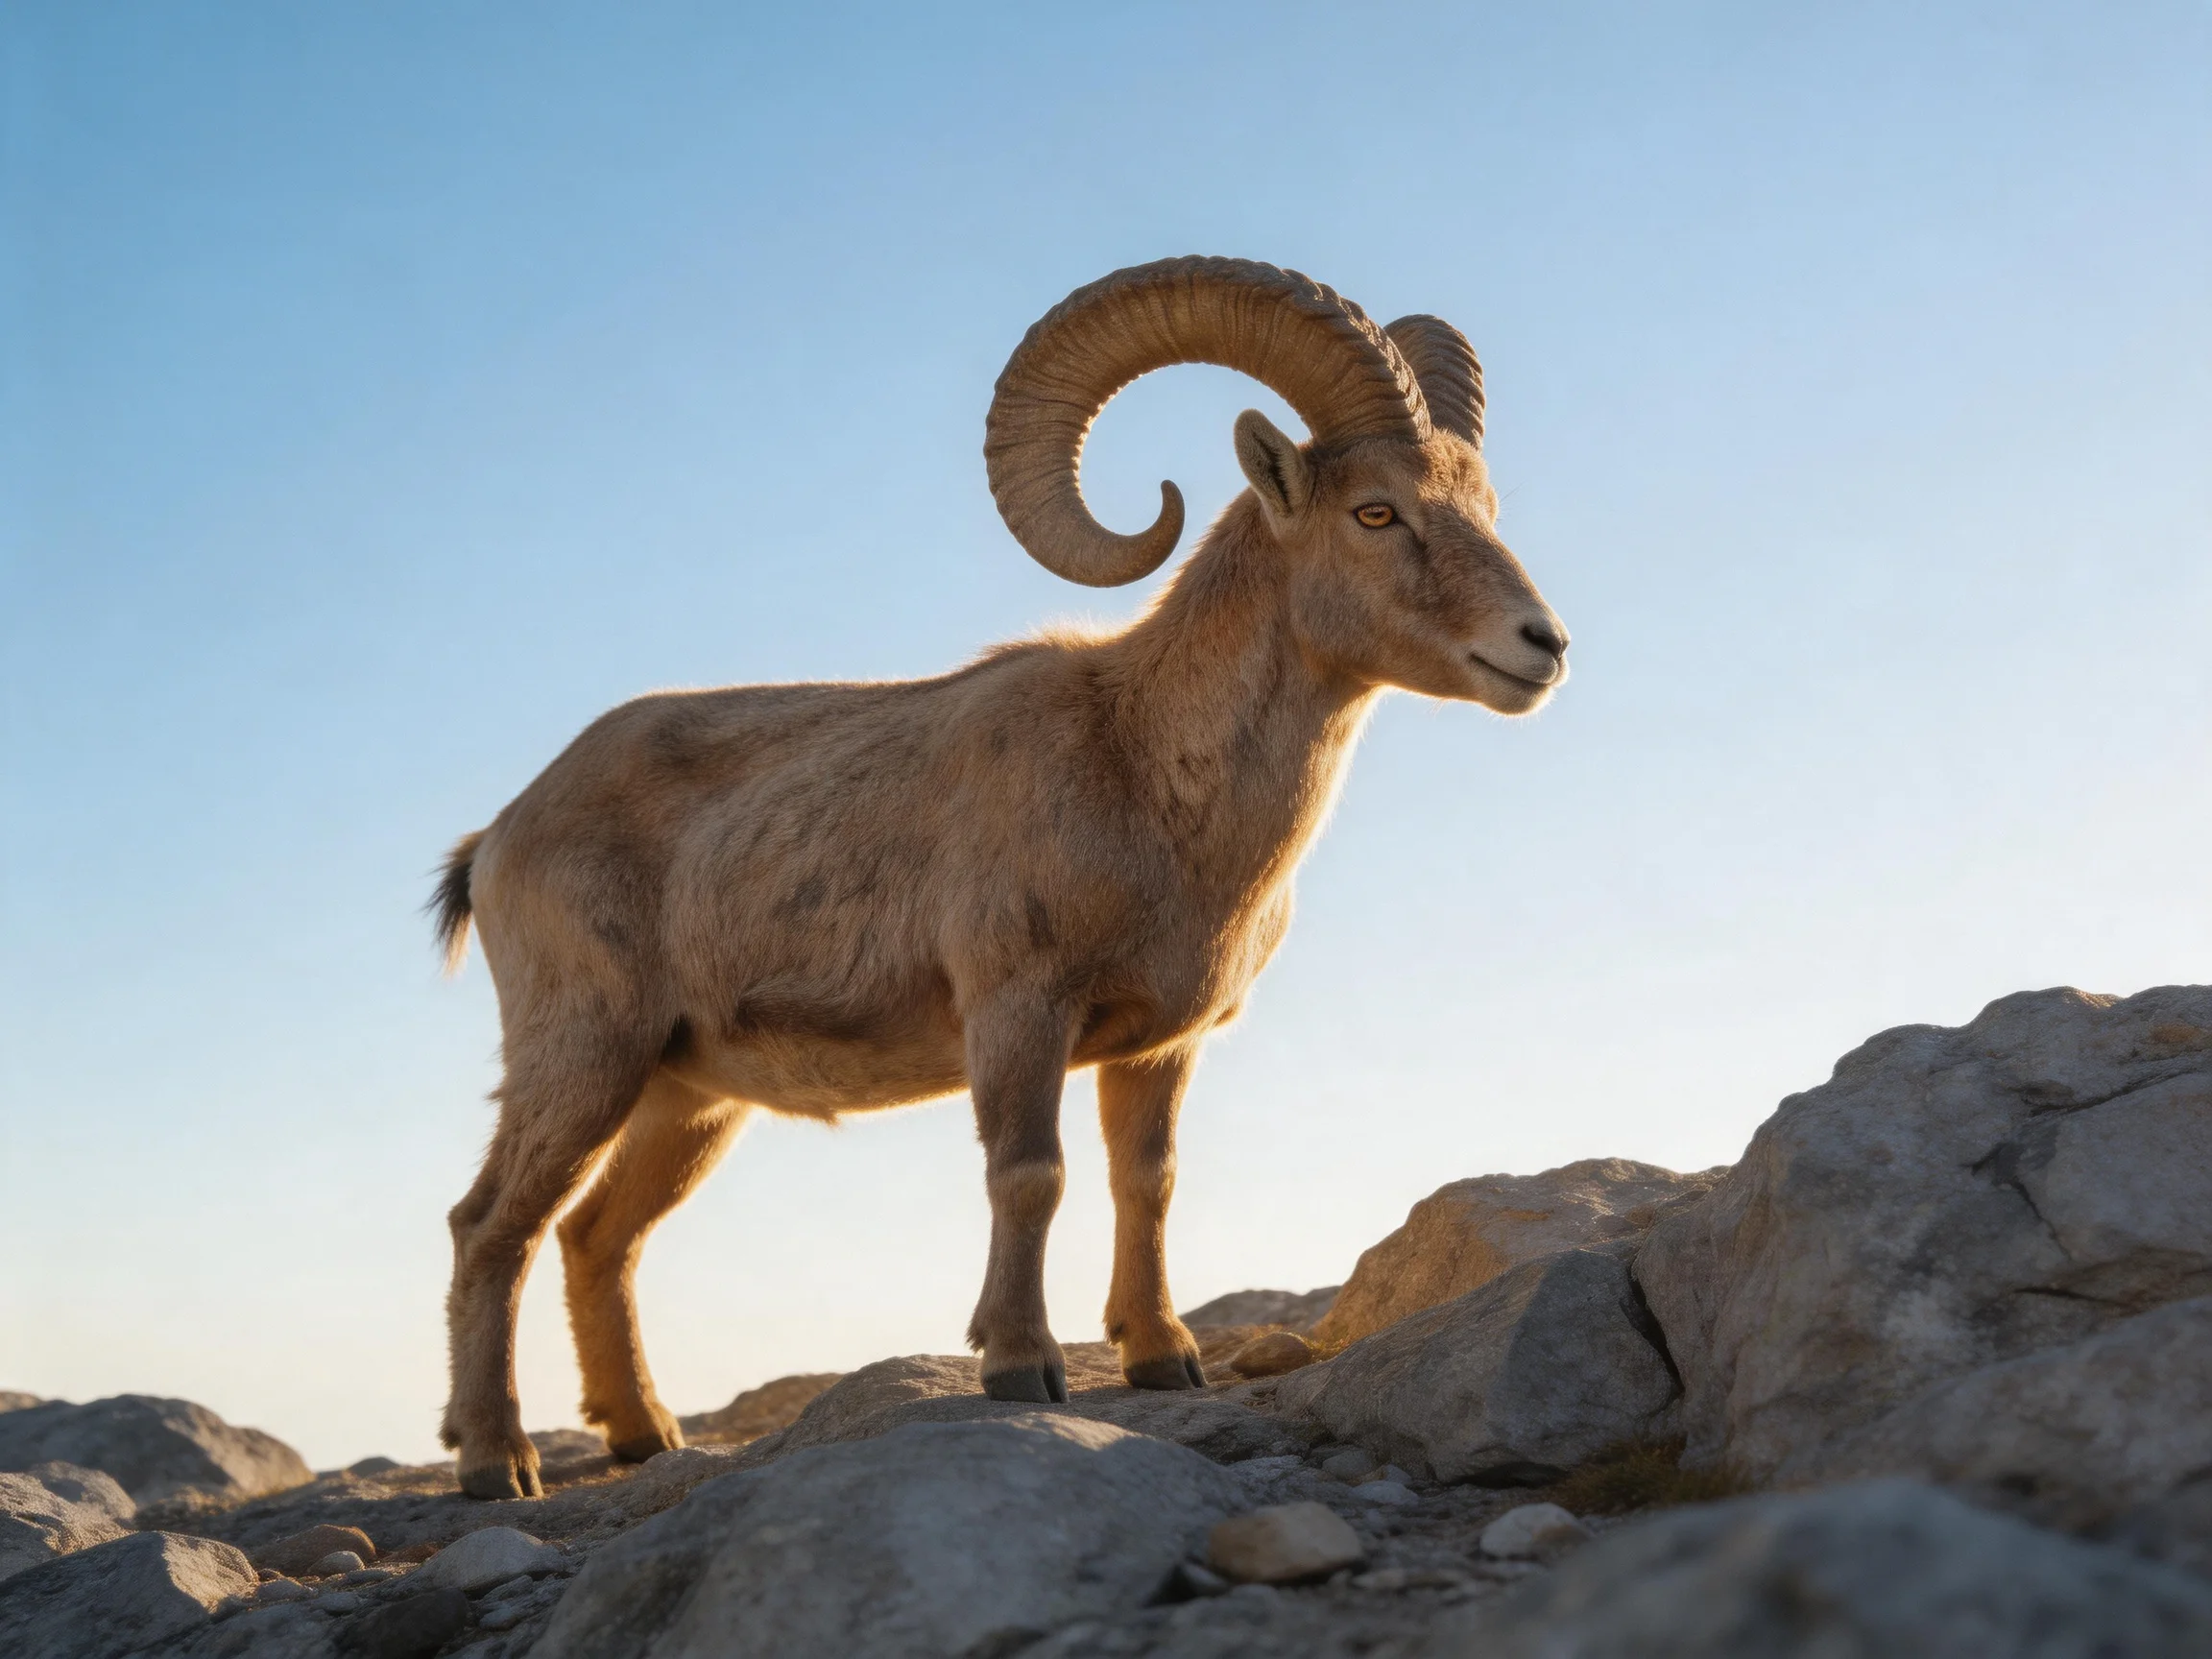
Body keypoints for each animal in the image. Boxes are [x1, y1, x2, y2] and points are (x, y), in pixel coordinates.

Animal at [432, 257, 1569, 1499]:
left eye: (1486, 508)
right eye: (1376, 512)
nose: (1541, 644)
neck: (1141, 766)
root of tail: (497, 840)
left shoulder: (1158, 1049)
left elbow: (1145, 1181)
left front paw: (1161, 1356)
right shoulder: (1019, 1010)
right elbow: (1034, 1175)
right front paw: (1022, 1366)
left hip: (687, 1099)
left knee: (599, 1236)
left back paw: (644, 1435)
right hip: (583, 1055)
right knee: (490, 1227)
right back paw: (497, 1463)